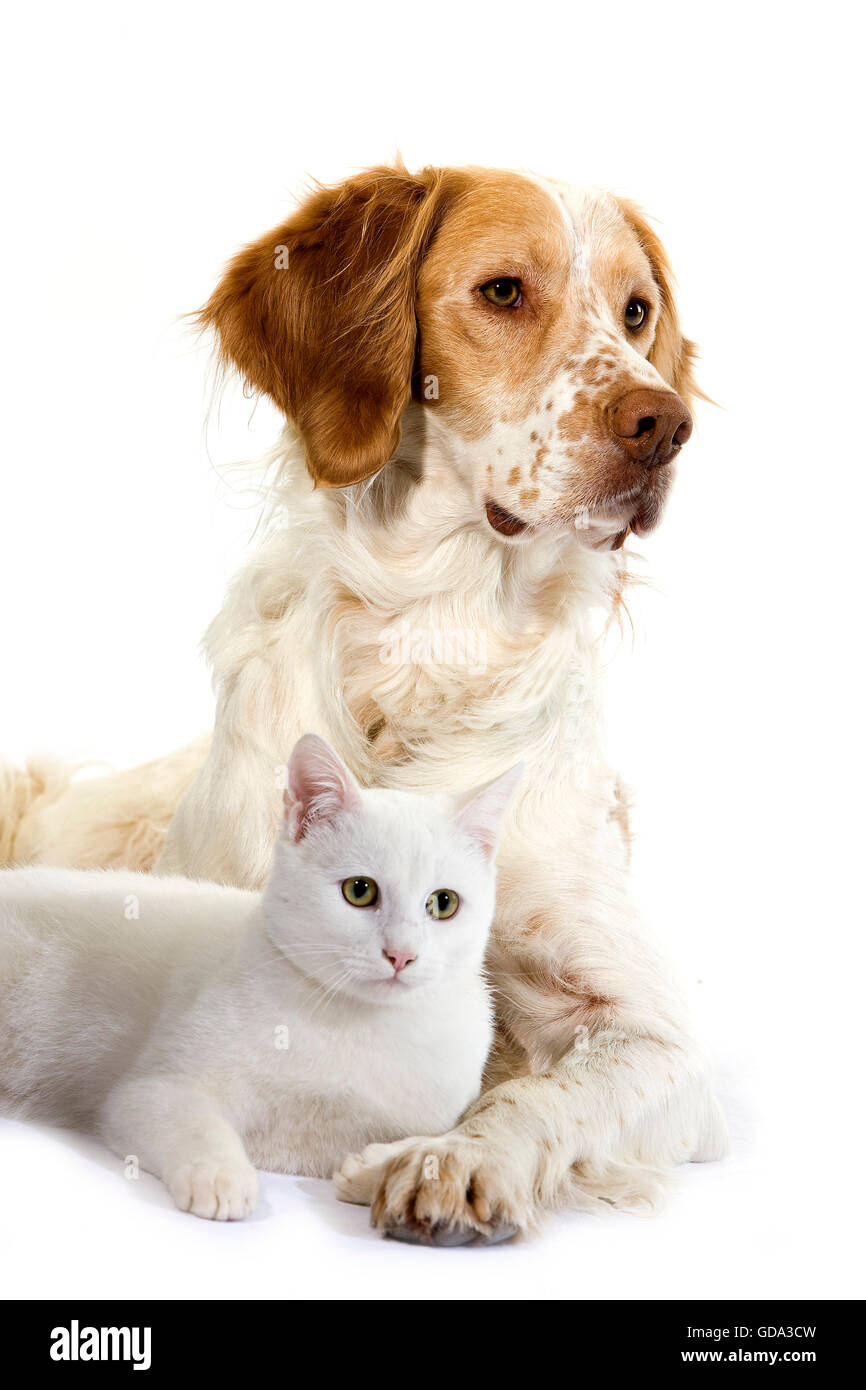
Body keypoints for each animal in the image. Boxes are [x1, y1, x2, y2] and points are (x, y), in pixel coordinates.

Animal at [0, 733, 522, 1223]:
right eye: (360, 891)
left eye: (444, 903)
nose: (402, 955)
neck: (354, 1025)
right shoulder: (154, 1091)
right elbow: (196, 1125)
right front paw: (220, 1176)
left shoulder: (435, 1113)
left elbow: (438, 1143)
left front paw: (379, 1166)